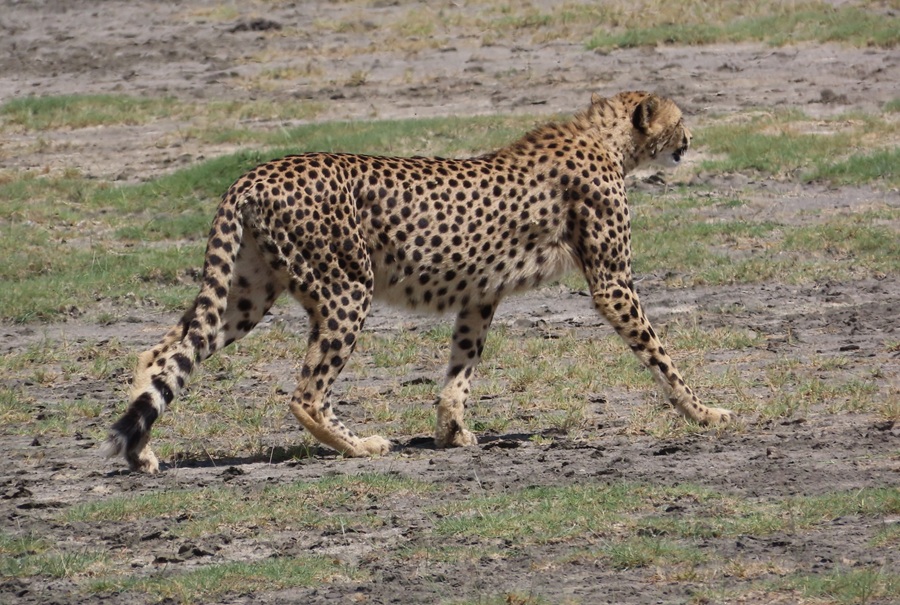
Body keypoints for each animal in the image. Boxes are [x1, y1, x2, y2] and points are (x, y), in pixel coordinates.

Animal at [103, 90, 734, 473]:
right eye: (680, 120)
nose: (689, 143)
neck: (607, 141)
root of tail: (255, 172)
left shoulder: (480, 294)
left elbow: (460, 369)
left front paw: (452, 432)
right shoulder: (612, 284)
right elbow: (661, 354)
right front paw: (703, 412)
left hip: (247, 294)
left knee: (162, 352)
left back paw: (142, 453)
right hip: (345, 289)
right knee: (304, 394)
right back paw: (360, 446)